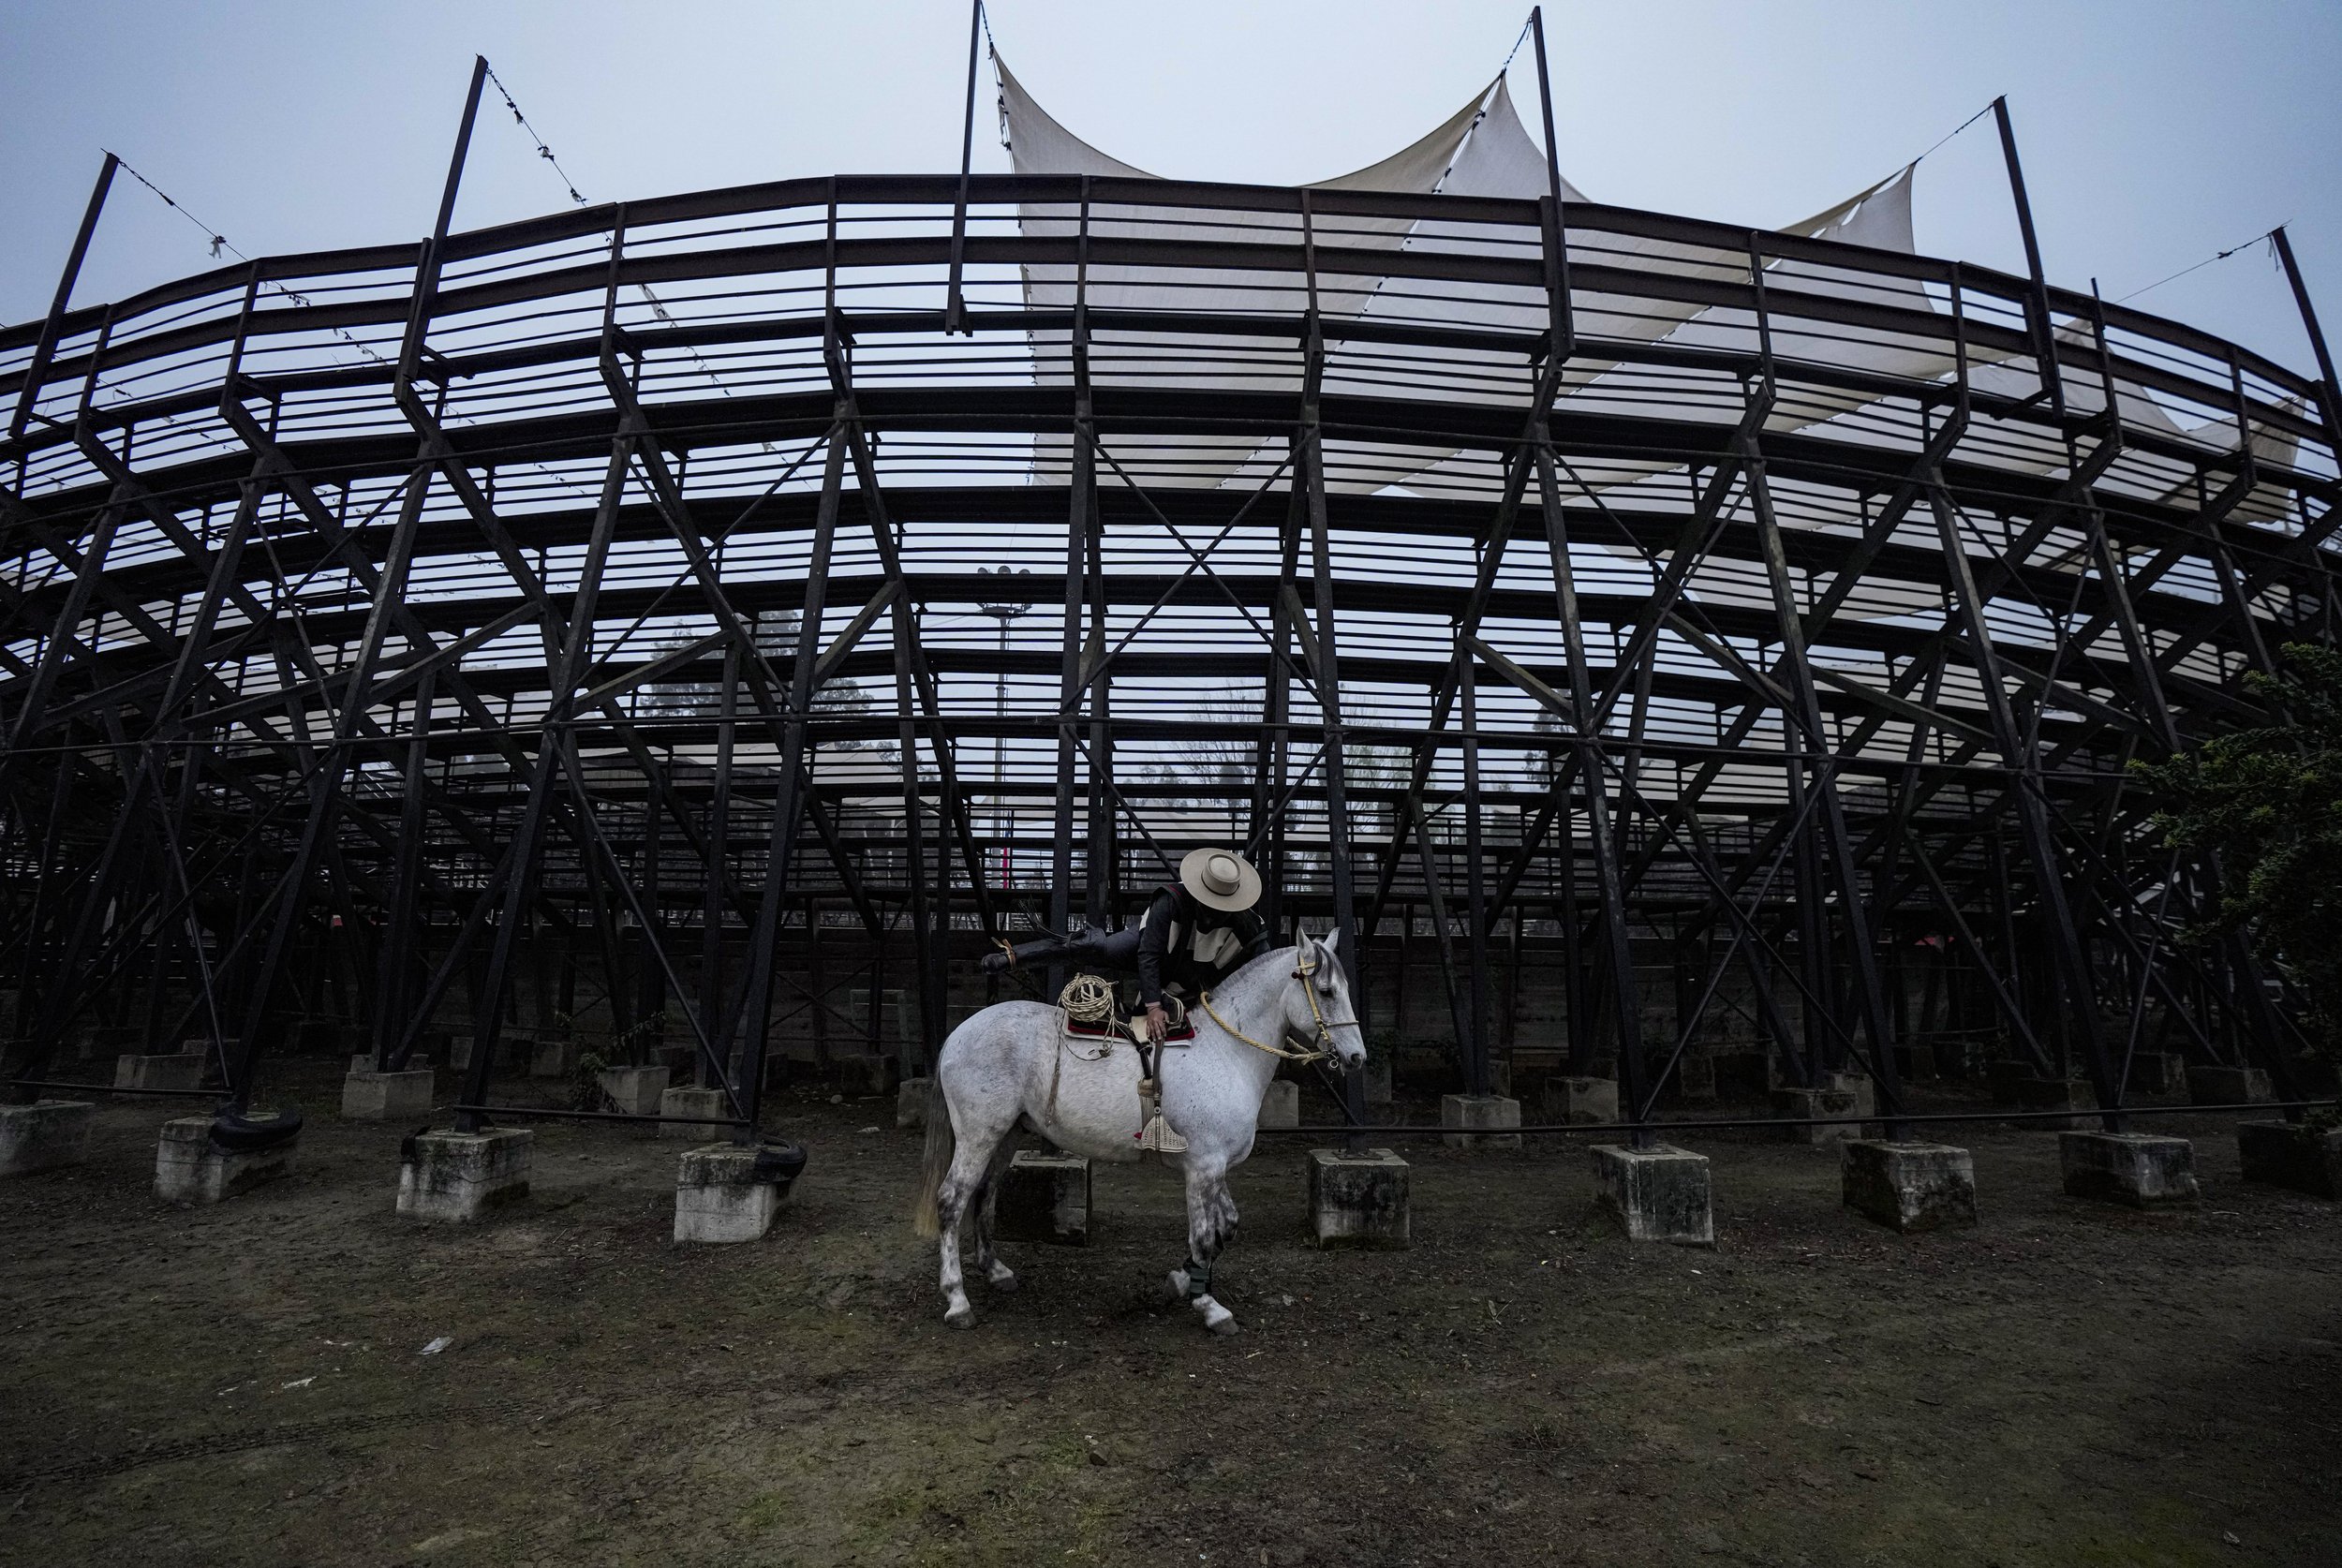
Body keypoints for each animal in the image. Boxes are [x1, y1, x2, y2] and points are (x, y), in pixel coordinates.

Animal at [904, 936, 1368, 1339]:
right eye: (1326, 991)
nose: (1356, 1057)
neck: (1225, 1052)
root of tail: (959, 1032)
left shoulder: (1215, 1169)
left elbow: (1227, 1227)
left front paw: (1180, 1282)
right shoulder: (1202, 1168)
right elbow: (1204, 1236)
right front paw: (1210, 1308)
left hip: (1006, 1135)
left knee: (984, 1192)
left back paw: (996, 1271)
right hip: (978, 1134)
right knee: (951, 1201)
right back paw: (957, 1301)